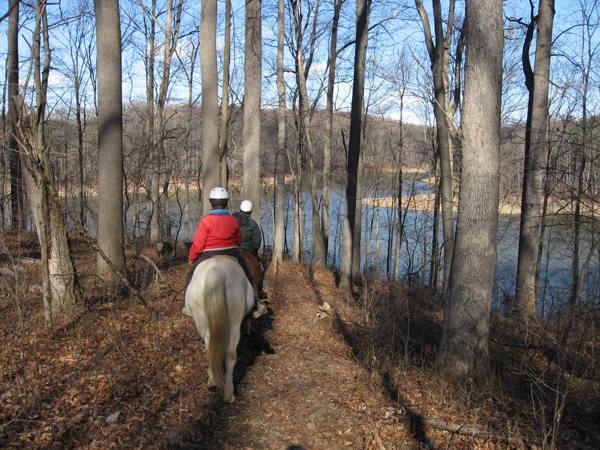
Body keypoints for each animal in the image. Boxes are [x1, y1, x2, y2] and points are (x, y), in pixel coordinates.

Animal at [185, 255, 255, 402]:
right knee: (227, 353)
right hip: (231, 320)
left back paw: (220, 388)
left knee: (218, 351)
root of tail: (216, 270)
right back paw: (227, 393)